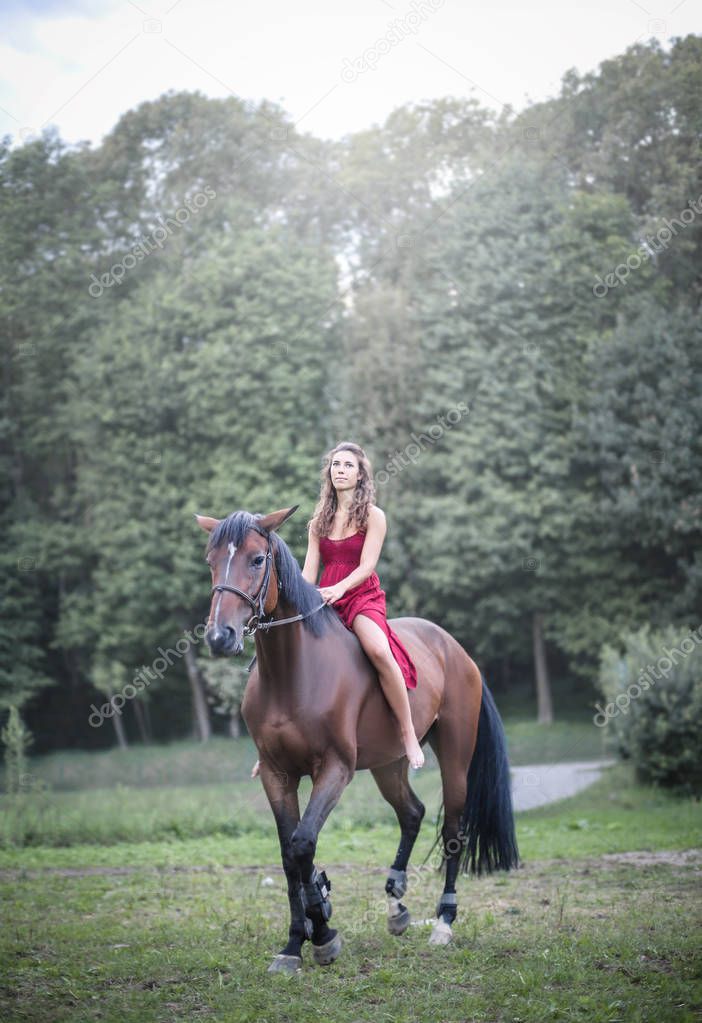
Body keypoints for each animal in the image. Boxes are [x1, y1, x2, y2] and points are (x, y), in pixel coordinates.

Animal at [195, 503, 519, 973]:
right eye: (211, 561)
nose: (220, 637)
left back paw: (443, 923)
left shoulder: (334, 769)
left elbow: (303, 844)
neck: (293, 673)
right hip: (388, 765)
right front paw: (296, 941)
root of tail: (455, 649)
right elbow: (290, 855)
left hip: (455, 758)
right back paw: (396, 904)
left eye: (257, 560)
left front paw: (322, 933)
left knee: (453, 831)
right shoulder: (277, 774)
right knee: (412, 813)